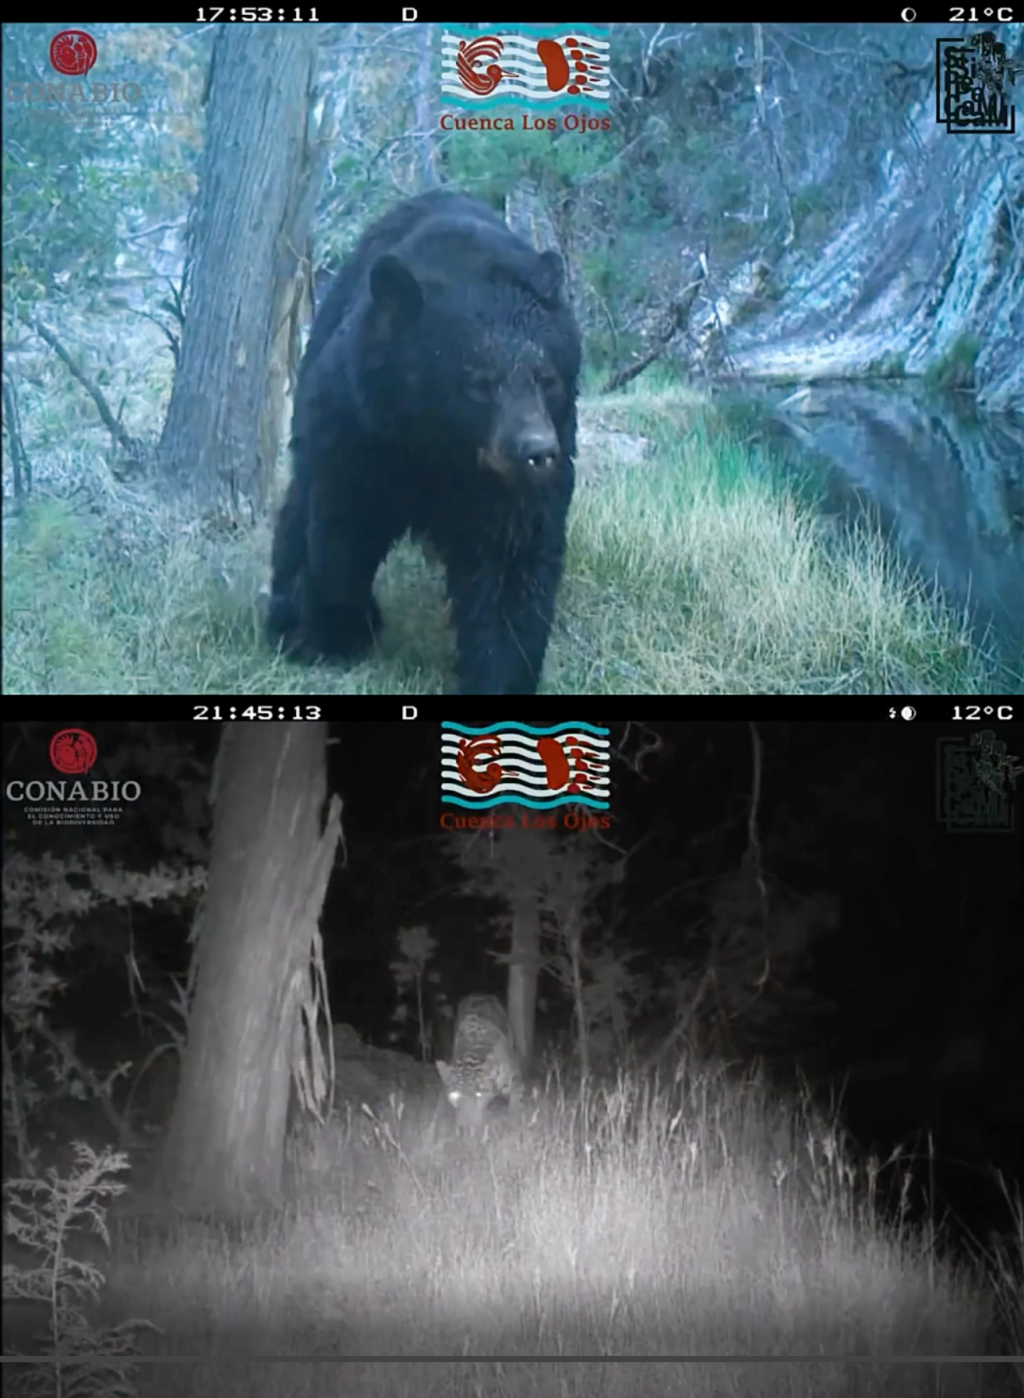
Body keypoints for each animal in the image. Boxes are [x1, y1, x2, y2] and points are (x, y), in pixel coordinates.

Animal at [266, 189, 580, 695]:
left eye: (545, 377)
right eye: (479, 383)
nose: (536, 452)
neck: (440, 444)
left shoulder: (523, 472)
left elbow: (512, 557)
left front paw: (501, 673)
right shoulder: (362, 431)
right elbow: (344, 527)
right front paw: (341, 632)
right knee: (299, 514)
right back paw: (287, 618)